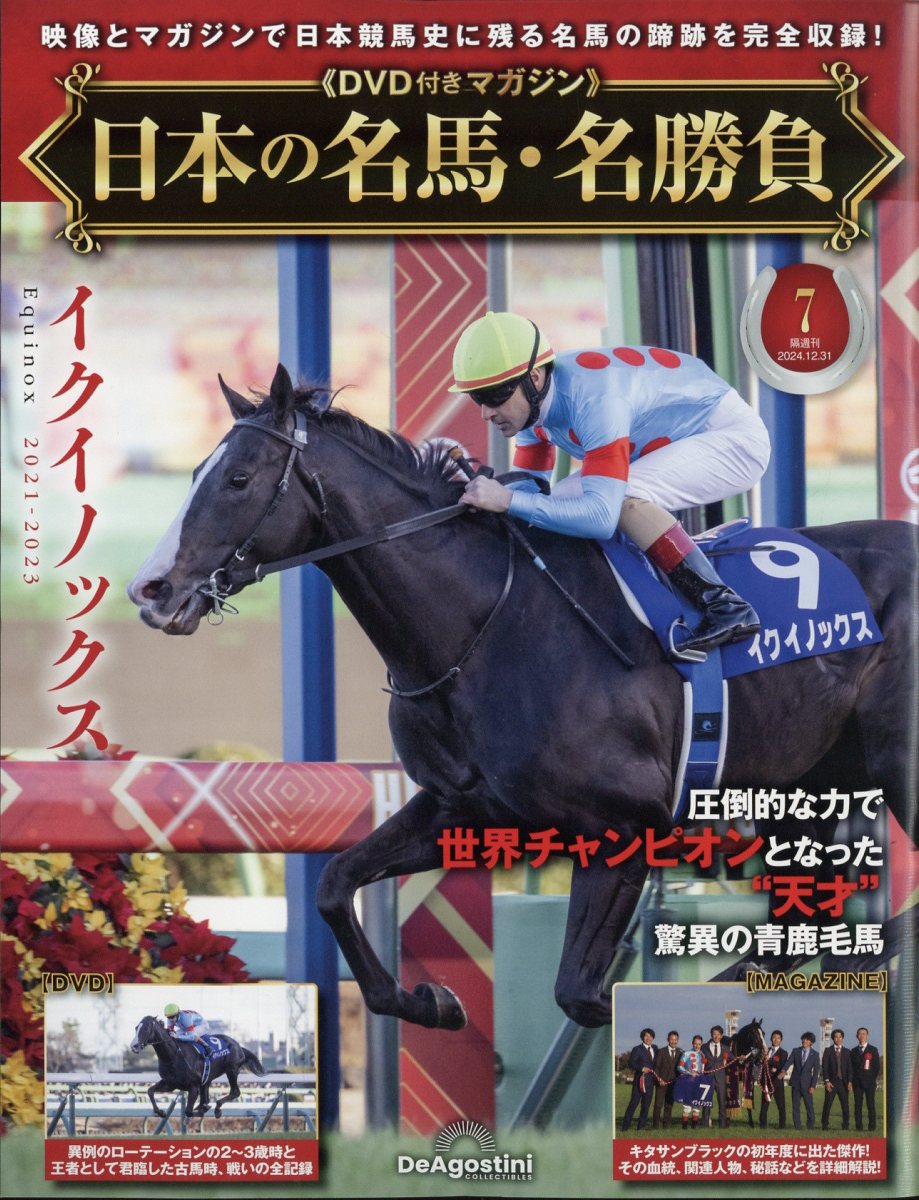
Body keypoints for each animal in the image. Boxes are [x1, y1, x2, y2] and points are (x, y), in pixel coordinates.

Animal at [127, 364, 917, 1032]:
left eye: (237, 477)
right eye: (195, 472)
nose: (150, 589)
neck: (486, 627)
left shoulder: (624, 825)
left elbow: (583, 993)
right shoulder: (466, 808)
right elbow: (332, 883)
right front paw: (431, 1001)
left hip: (890, 769)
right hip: (804, 791)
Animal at [130, 1015, 266, 1119]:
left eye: (146, 1029)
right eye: (136, 1028)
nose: (134, 1046)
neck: (173, 1056)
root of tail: (238, 1045)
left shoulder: (193, 1086)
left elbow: (188, 1111)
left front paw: (202, 1110)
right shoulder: (170, 1083)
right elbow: (150, 1091)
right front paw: (161, 1112)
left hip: (232, 1070)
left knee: (235, 1092)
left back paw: (217, 1109)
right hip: (207, 1079)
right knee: (206, 1097)